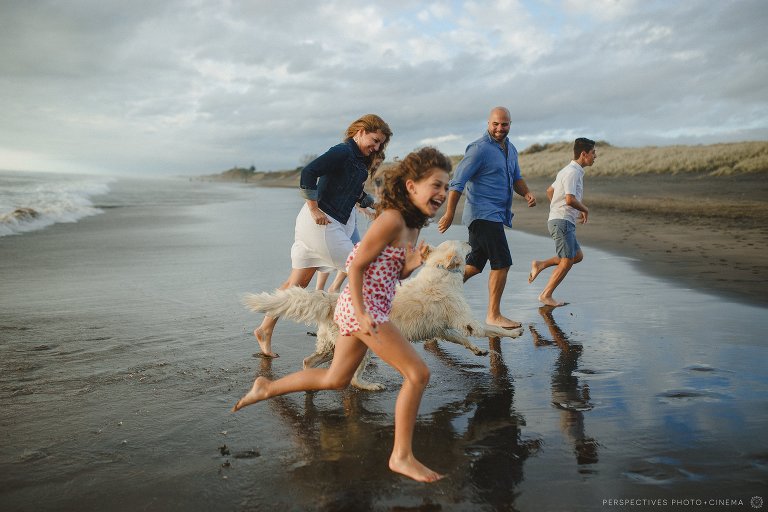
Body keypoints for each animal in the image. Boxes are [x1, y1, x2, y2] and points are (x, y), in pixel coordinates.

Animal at [243, 239, 524, 388]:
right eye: (461, 245)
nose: (470, 240)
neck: (440, 273)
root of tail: (333, 300)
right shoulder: (468, 321)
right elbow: (490, 329)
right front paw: (515, 332)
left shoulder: (444, 327)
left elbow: (461, 338)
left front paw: (477, 351)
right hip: (361, 348)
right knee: (353, 380)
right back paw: (369, 386)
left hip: (330, 346)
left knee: (309, 361)